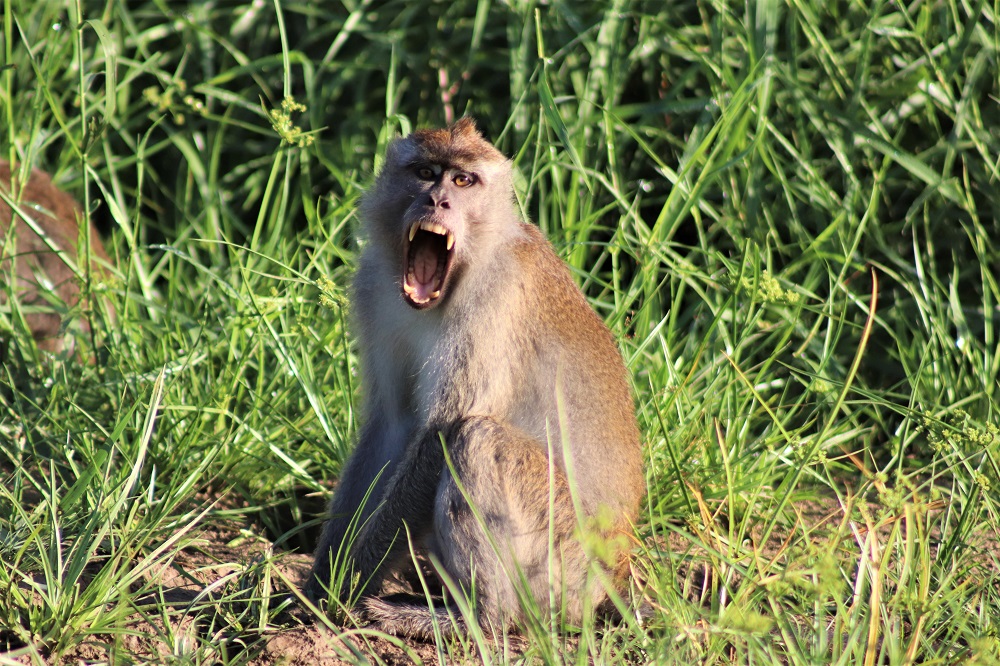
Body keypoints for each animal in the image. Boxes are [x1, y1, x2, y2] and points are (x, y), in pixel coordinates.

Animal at [307, 118, 644, 640]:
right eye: (426, 172)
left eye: (463, 181)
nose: (437, 201)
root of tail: (610, 583)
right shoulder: (374, 289)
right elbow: (392, 426)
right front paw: (321, 578)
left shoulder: (493, 296)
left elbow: (442, 432)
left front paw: (347, 585)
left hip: (560, 562)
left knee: (476, 438)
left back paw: (476, 619)